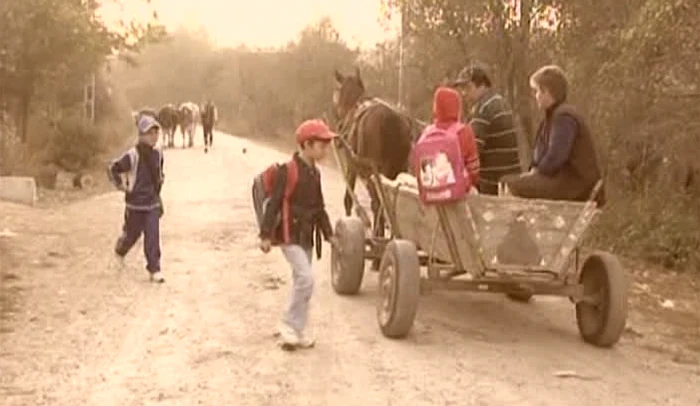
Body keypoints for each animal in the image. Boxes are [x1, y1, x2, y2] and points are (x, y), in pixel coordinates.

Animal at [332, 66, 416, 249]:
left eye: (339, 92)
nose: (339, 126)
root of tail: (390, 119)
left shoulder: (352, 166)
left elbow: (349, 200)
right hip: (395, 170)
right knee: (385, 207)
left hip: (374, 172)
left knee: (378, 205)